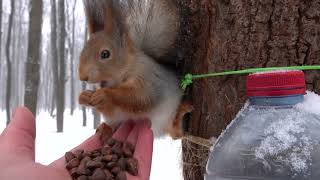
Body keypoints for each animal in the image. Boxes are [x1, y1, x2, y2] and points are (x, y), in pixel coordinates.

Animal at [78, 0, 191, 139]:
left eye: (105, 54)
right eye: (83, 50)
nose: (82, 77)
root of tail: (156, 130)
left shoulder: (149, 78)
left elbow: (139, 97)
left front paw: (105, 95)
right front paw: (84, 96)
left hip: (169, 114)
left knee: (176, 133)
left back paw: (182, 114)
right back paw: (105, 128)